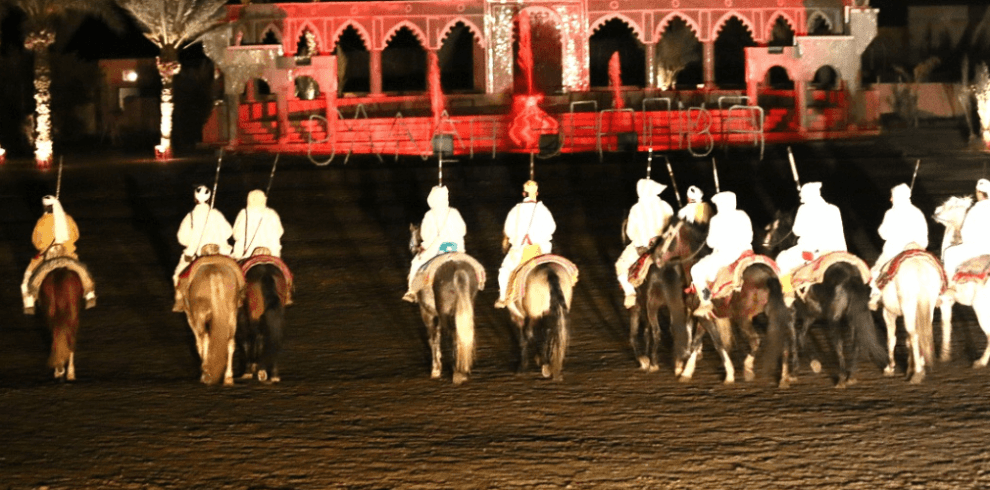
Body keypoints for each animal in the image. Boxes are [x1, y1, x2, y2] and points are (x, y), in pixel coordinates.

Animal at [180, 253, 246, 386]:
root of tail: (215, 273)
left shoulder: (191, 318)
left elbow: (199, 342)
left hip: (199, 314)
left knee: (204, 338)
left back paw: (206, 373)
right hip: (231, 315)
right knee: (230, 342)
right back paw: (228, 378)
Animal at [408, 224, 482, 384]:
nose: (412, 248)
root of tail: (457, 268)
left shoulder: (427, 313)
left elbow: (433, 338)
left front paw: (436, 369)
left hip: (444, 313)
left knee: (454, 334)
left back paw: (458, 373)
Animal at [760, 210, 892, 386]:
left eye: (774, 225)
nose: (765, 242)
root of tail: (851, 276)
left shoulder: (793, 312)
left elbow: (794, 338)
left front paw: (794, 372)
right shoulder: (811, 315)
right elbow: (801, 336)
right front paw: (814, 364)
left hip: (834, 318)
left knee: (839, 343)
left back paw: (842, 378)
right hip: (853, 315)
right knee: (855, 343)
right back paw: (851, 375)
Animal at [932, 195, 990, 368]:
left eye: (948, 205)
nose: (935, 212)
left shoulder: (946, 302)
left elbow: (945, 325)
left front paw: (943, 355)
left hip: (981, 309)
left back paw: (980, 362)